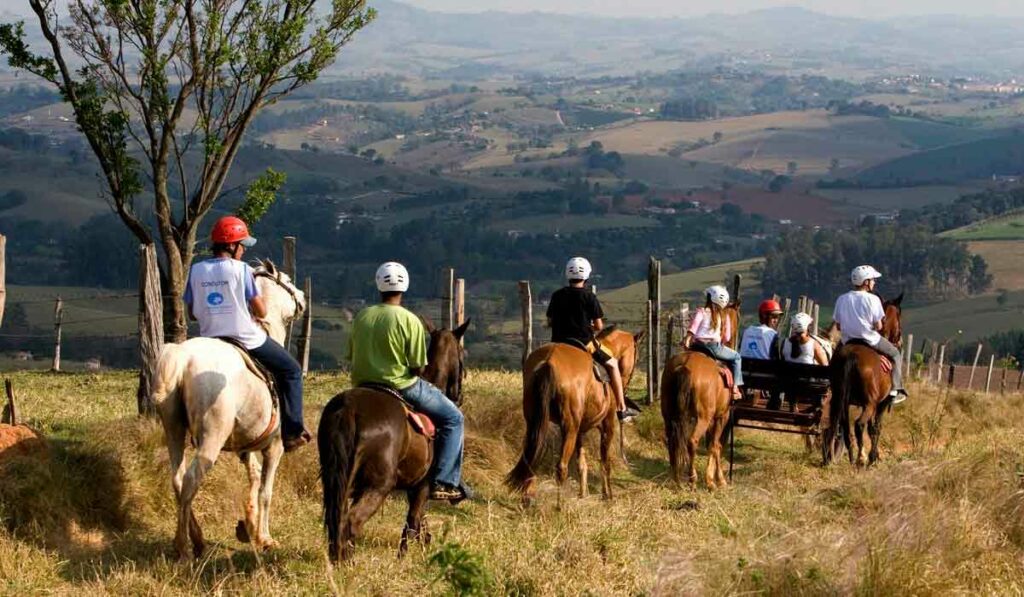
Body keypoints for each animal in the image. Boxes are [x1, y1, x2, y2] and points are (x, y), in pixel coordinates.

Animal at [149, 258, 305, 561]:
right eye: (287, 280)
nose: (302, 297)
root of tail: (183, 357)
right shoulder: (275, 446)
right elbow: (266, 490)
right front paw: (264, 538)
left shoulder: (246, 446)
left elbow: (254, 476)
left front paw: (248, 526)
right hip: (212, 435)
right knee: (191, 480)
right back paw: (184, 547)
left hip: (173, 429)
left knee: (178, 480)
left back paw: (196, 539)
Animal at [317, 319, 468, 561]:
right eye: (462, 354)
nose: (459, 396)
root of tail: (349, 409)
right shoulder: (422, 486)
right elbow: (413, 523)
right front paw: (404, 558)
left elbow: (420, 523)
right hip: (379, 485)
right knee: (351, 522)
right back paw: (348, 563)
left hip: (336, 478)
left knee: (336, 519)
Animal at [507, 329, 643, 507]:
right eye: (637, 358)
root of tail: (548, 360)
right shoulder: (607, 425)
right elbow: (605, 462)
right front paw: (608, 495)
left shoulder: (580, 430)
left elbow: (581, 463)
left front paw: (583, 494)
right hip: (569, 428)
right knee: (561, 467)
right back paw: (559, 506)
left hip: (535, 423)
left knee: (531, 458)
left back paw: (527, 498)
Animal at [659, 303, 741, 491]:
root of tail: (684, 366)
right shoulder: (721, 416)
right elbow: (715, 445)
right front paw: (716, 481)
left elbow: (714, 445)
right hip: (703, 418)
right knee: (692, 441)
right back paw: (692, 479)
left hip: (669, 415)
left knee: (672, 441)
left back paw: (676, 478)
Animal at [823, 294, 905, 466]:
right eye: (900, 316)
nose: (900, 341)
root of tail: (852, 355)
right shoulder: (881, 404)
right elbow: (876, 428)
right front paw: (874, 457)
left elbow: (870, 428)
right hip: (869, 404)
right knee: (858, 425)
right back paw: (861, 458)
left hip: (840, 399)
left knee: (838, 425)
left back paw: (834, 457)